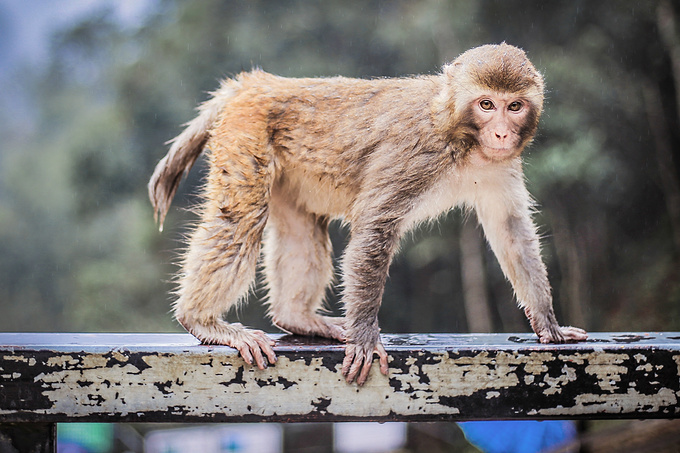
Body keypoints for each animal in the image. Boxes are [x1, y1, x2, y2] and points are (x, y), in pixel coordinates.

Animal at [150, 42, 588, 384]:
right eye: (486, 104)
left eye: (514, 106)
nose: (501, 133)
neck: (459, 136)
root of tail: (260, 81)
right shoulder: (417, 154)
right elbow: (375, 227)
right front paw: (364, 336)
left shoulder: (500, 166)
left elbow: (511, 231)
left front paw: (548, 324)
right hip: (246, 132)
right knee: (240, 219)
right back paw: (202, 320)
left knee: (301, 229)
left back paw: (298, 319)